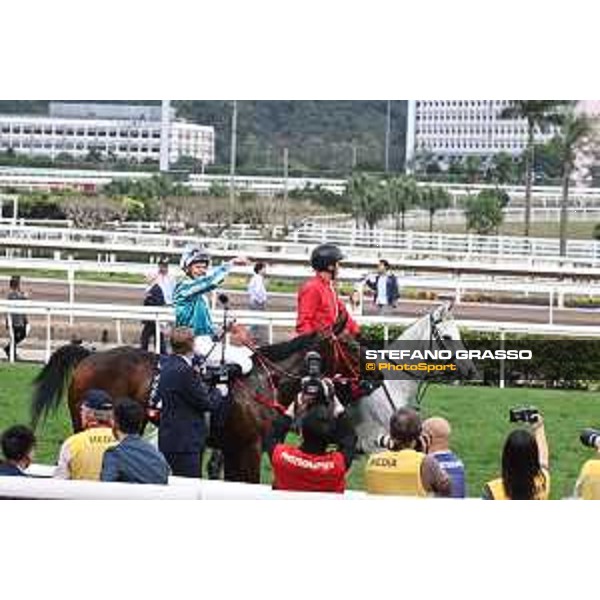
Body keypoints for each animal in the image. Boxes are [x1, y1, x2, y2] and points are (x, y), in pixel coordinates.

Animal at [30, 324, 360, 482]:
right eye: (354, 346)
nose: (366, 382)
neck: (263, 380)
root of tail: (89, 356)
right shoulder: (250, 447)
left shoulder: (233, 447)